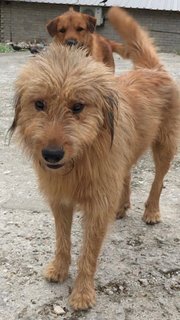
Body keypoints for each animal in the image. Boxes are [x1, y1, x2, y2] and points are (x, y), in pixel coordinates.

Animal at [10, 6, 179, 310]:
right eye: (39, 104)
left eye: (78, 106)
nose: (51, 154)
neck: (80, 159)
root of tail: (152, 69)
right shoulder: (60, 201)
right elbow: (62, 240)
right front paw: (59, 269)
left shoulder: (98, 207)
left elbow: (88, 252)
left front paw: (82, 293)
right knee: (126, 174)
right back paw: (122, 205)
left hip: (165, 147)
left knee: (158, 180)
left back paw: (151, 211)